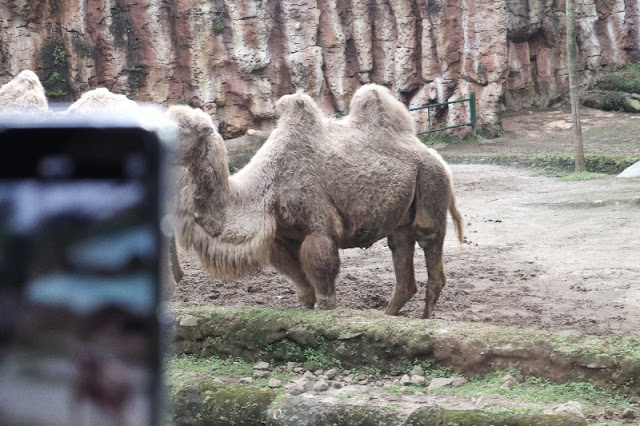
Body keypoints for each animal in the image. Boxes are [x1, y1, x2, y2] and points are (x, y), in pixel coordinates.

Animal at [168, 83, 462, 318]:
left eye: (180, 130)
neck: (264, 190)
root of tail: (433, 154)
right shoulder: (281, 239)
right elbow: (303, 291)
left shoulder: (318, 226)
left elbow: (323, 285)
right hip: (403, 213)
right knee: (401, 253)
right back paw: (390, 315)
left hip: (431, 181)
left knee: (429, 241)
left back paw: (424, 319)